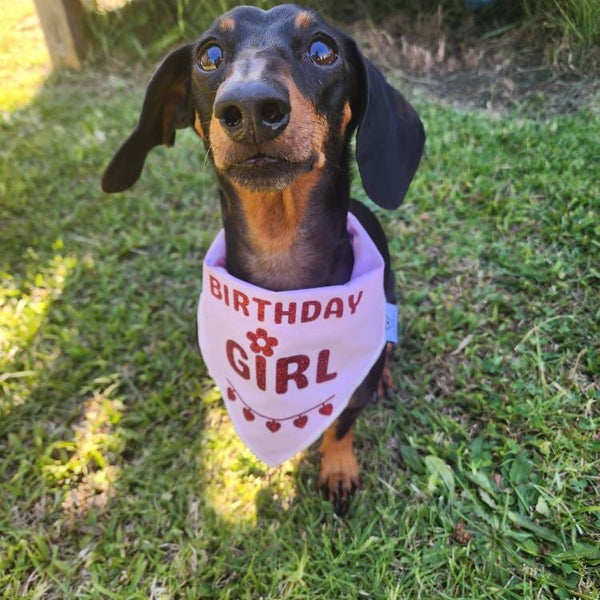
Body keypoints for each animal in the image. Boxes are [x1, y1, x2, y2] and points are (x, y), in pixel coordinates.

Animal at [101, 2, 424, 512]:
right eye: (209, 55)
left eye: (323, 50)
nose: (251, 107)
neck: (281, 260)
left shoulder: (351, 394)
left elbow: (341, 424)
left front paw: (338, 470)